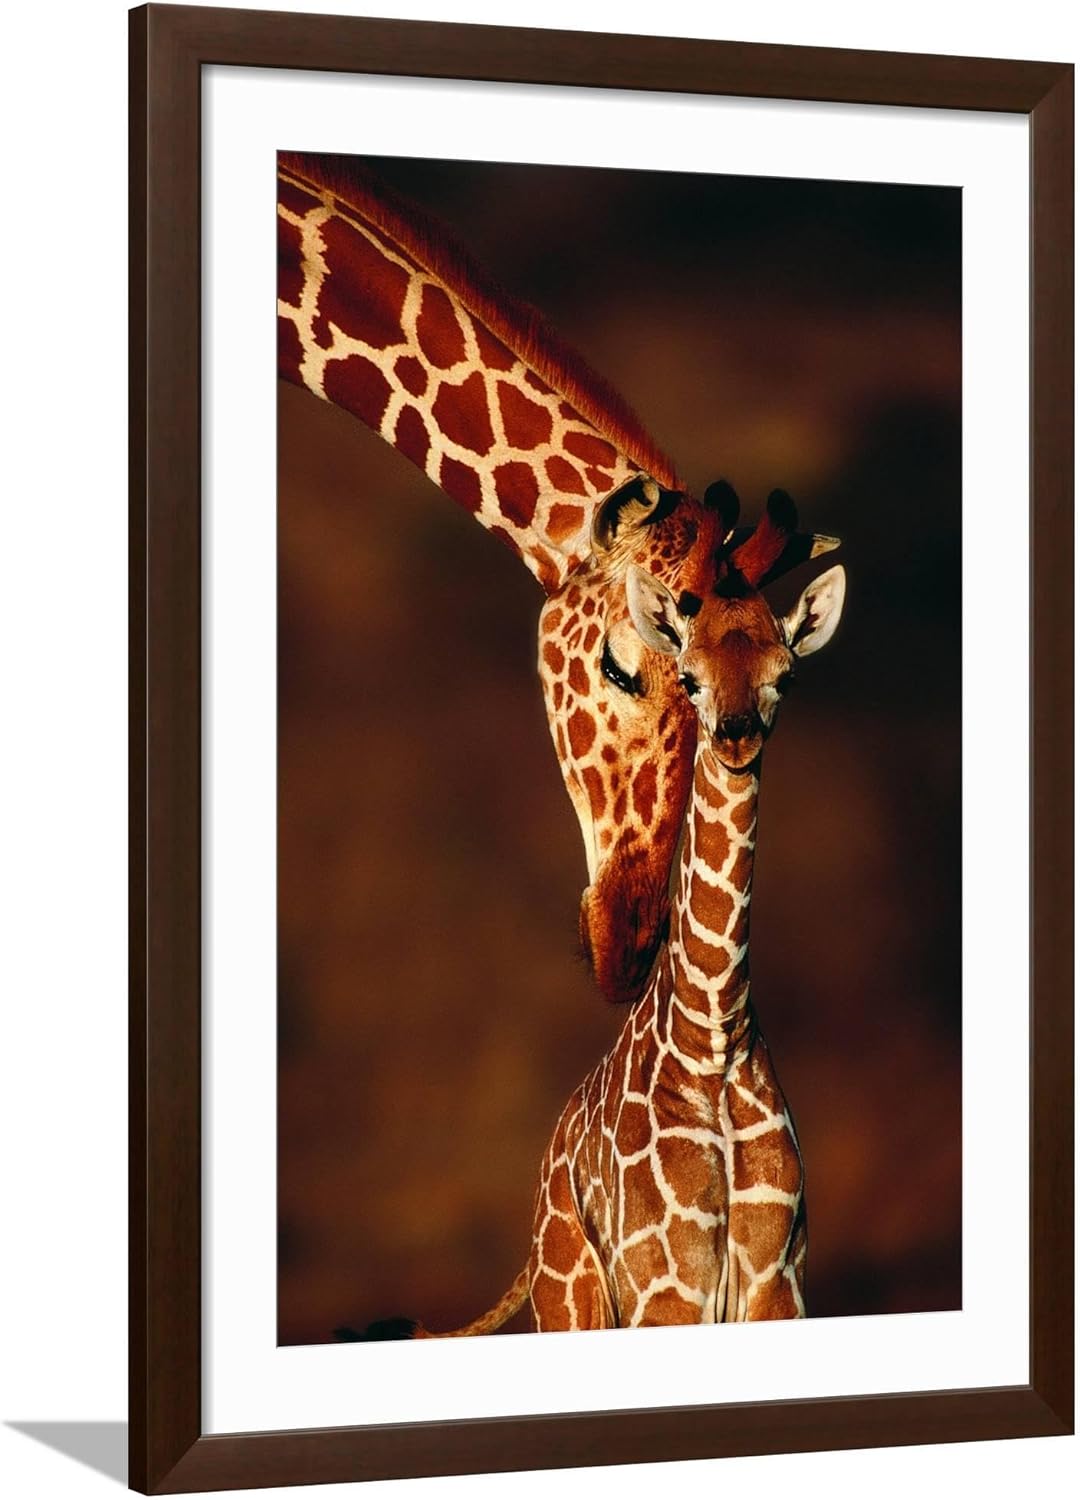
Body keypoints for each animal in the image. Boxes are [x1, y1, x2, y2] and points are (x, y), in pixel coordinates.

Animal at [342, 488, 845, 1338]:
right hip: (574, 1299)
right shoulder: (666, 1290)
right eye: (691, 678)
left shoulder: (779, 1283)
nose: (736, 737)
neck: (714, 1038)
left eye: (785, 675)